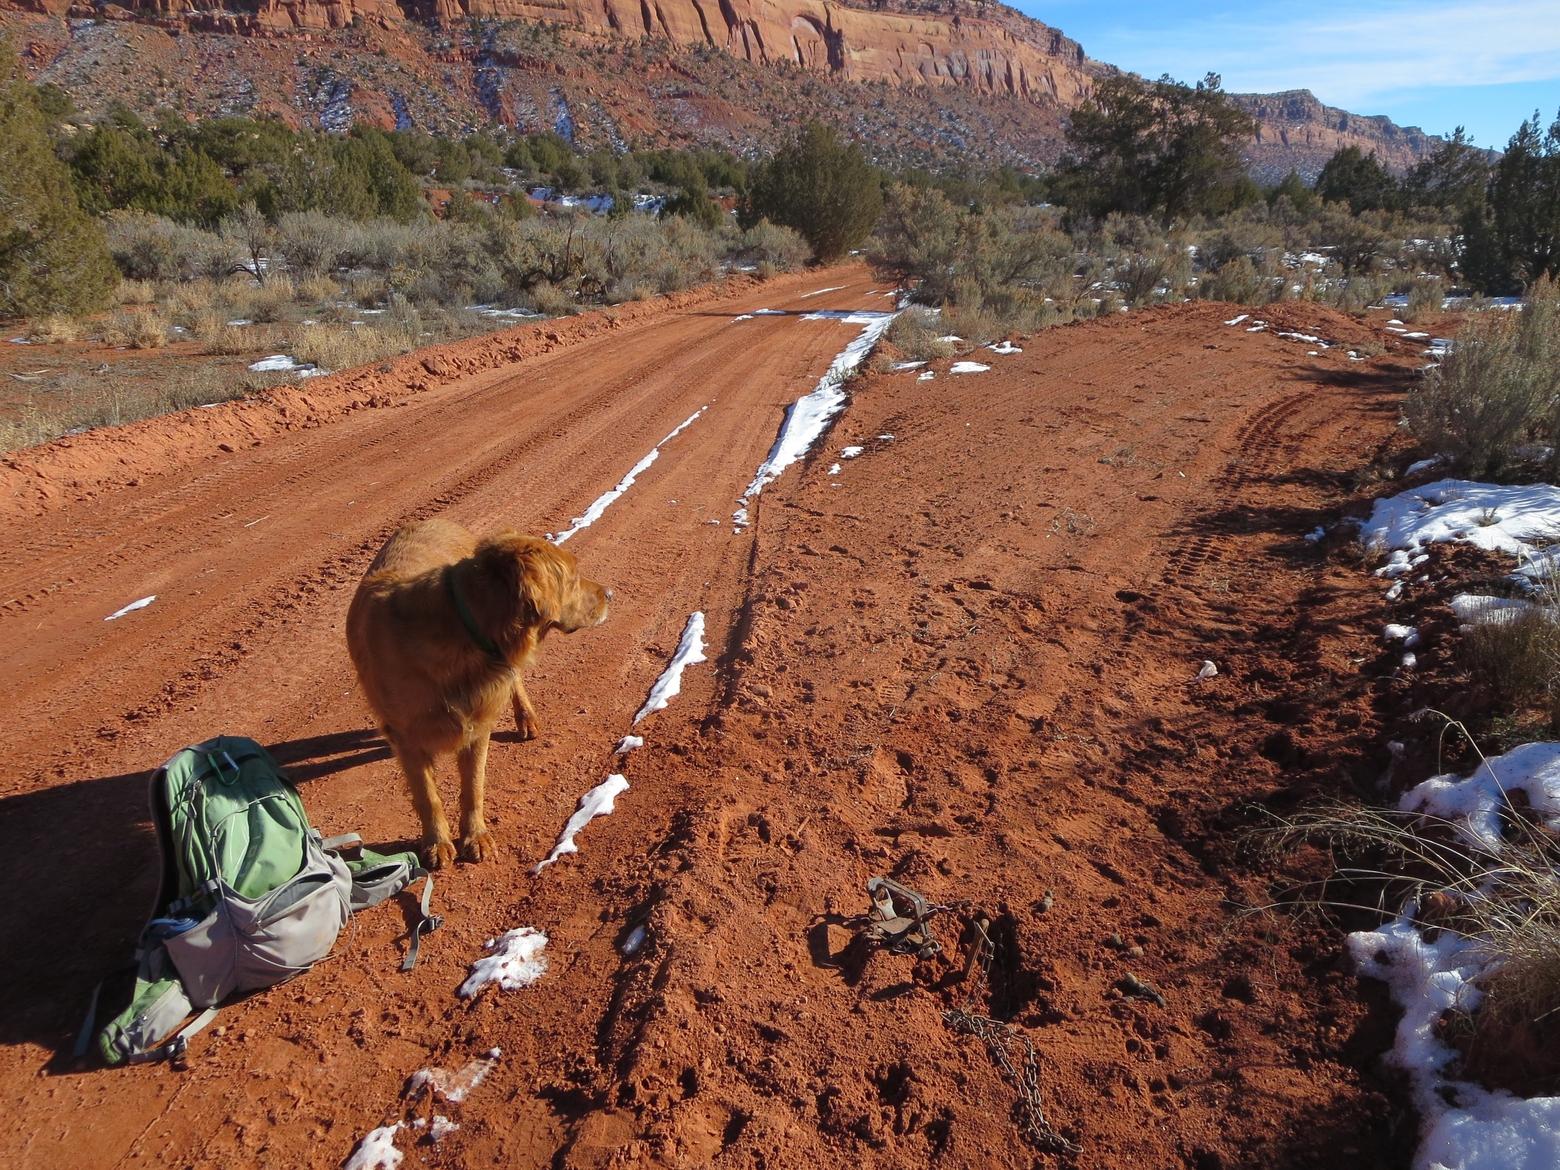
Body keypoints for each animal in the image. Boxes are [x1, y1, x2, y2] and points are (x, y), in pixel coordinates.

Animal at [346, 521, 608, 873]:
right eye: (574, 577)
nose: (610, 594)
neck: (461, 627)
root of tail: (438, 520)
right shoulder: (407, 737)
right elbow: (428, 796)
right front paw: (437, 842)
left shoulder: (477, 723)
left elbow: (473, 787)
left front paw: (475, 836)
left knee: (515, 681)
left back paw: (526, 718)